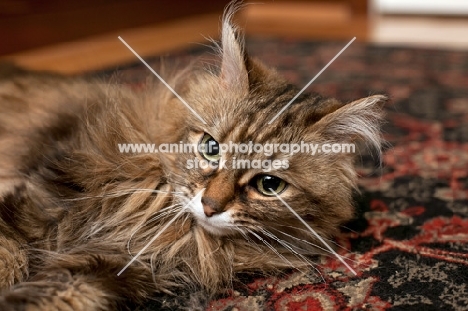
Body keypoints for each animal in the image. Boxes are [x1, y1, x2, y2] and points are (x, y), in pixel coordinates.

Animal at [0, 3, 384, 311]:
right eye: (211, 148)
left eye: (269, 185)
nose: (210, 206)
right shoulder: (42, 199)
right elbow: (8, 254)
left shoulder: (112, 266)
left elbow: (49, 295)